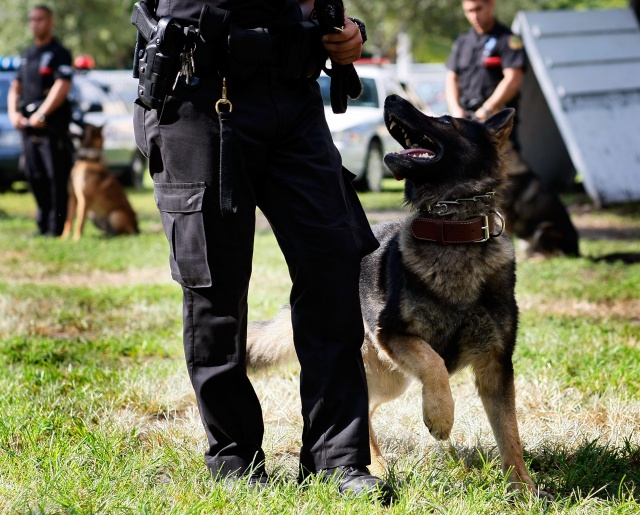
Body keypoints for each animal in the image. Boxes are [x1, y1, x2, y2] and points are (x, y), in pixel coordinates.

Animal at [248, 95, 552, 500]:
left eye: (447, 120)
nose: (392, 98)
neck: (453, 231)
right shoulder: (393, 335)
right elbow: (433, 363)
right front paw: (440, 416)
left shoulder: (495, 366)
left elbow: (510, 433)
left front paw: (522, 488)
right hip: (375, 365)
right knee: (359, 412)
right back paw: (373, 467)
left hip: (390, 379)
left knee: (366, 410)